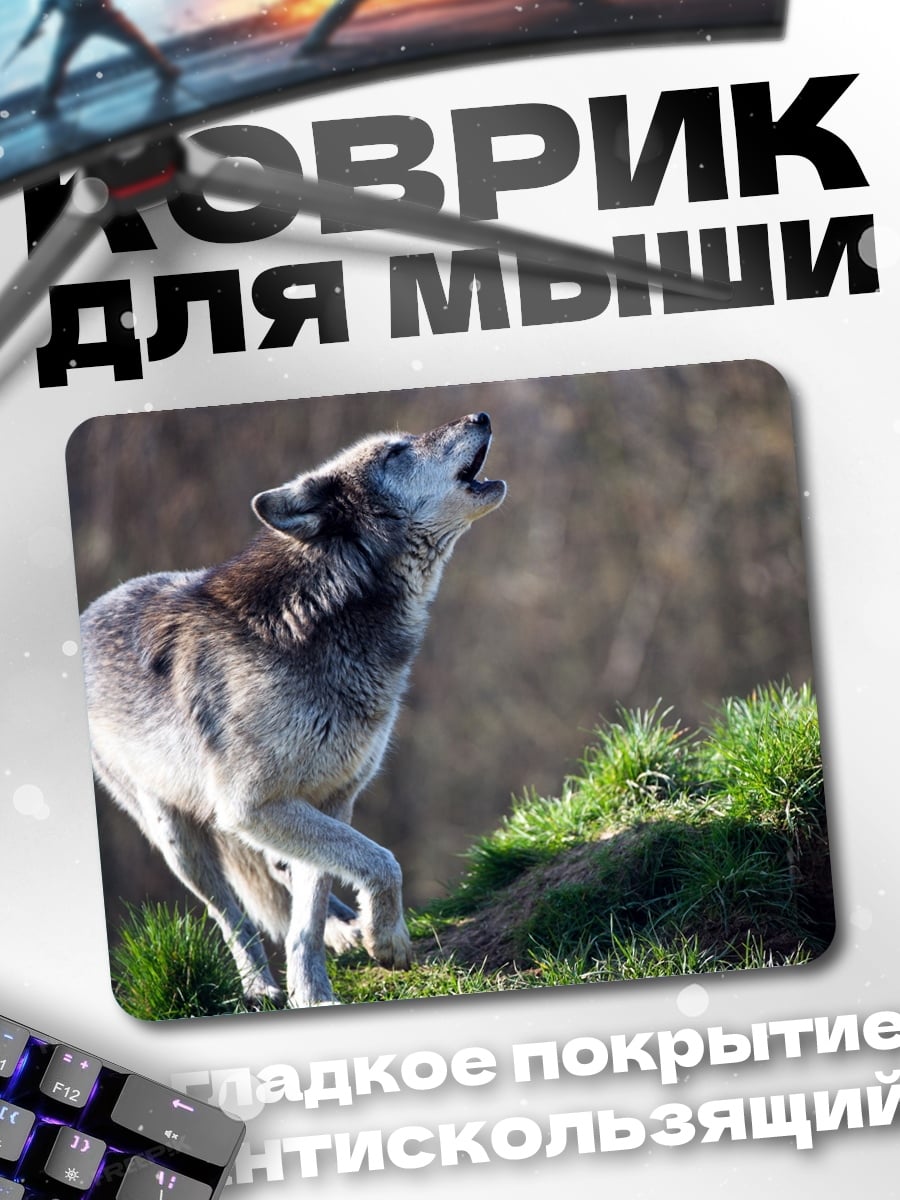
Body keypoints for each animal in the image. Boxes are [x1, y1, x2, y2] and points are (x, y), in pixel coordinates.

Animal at [81, 411, 506, 1008]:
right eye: (395, 452)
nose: (479, 416)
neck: (322, 617)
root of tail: (86, 613)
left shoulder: (330, 798)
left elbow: (313, 906)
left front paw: (317, 992)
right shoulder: (252, 806)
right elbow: (383, 861)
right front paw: (386, 941)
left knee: (283, 875)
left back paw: (340, 933)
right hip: (178, 839)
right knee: (230, 914)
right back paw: (260, 986)